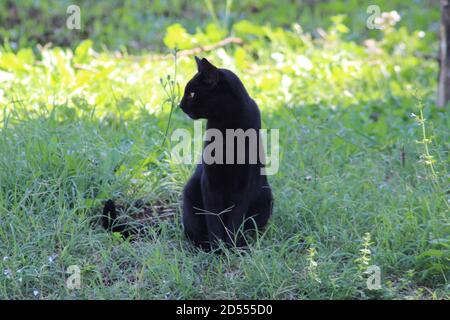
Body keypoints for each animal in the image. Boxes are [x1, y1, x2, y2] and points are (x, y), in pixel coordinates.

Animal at [180, 56, 274, 249]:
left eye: (191, 93)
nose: (180, 105)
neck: (226, 123)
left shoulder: (244, 183)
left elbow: (234, 220)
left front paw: (231, 247)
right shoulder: (210, 181)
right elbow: (214, 218)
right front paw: (218, 247)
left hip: (265, 196)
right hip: (190, 194)